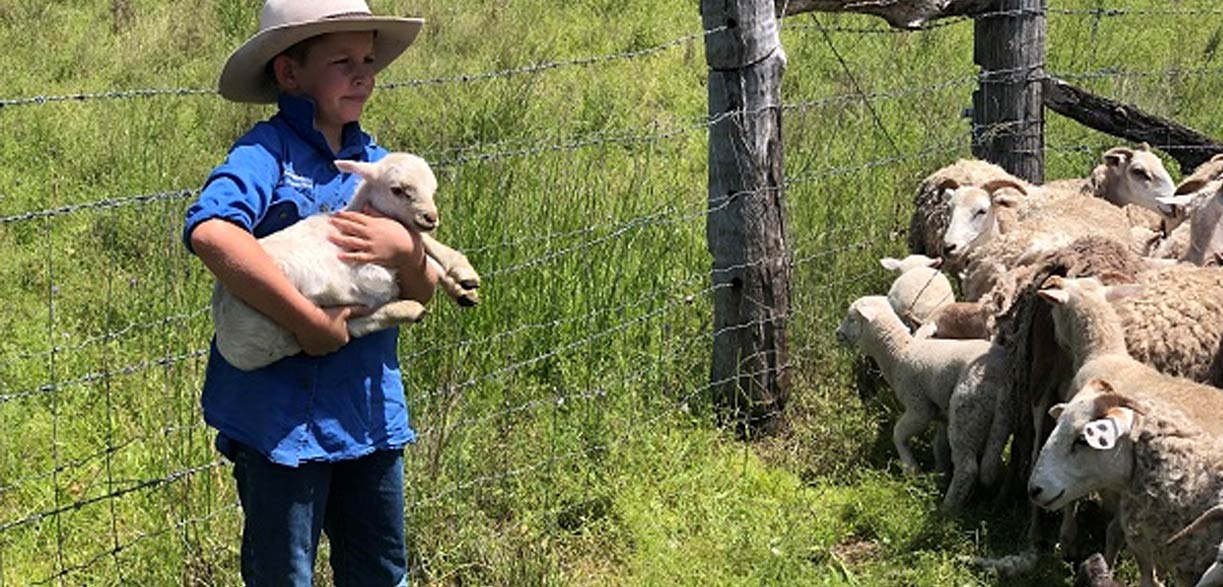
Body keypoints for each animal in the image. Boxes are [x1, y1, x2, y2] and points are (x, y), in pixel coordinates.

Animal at [212, 153, 479, 369]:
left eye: (432, 190)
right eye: (397, 190)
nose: (430, 218)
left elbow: (422, 245)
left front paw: (464, 285)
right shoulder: (374, 267)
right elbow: (423, 248)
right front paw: (461, 273)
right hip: (282, 329)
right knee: (351, 327)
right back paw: (407, 309)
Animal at [831, 295, 1012, 511]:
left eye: (851, 318)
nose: (837, 334)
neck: (900, 352)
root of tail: (1003, 376)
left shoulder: (918, 406)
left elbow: (898, 433)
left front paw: (911, 468)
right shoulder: (942, 412)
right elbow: (939, 446)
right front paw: (940, 476)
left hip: (968, 404)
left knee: (967, 467)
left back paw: (947, 509)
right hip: (994, 417)